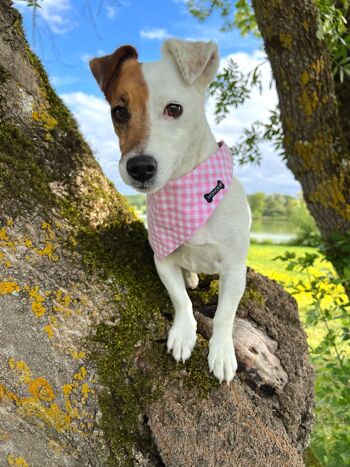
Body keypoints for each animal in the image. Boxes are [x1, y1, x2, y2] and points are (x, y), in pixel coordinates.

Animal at [89, 39, 250, 384]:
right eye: (119, 112)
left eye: (174, 109)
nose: (139, 167)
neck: (187, 196)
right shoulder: (162, 260)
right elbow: (181, 300)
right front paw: (183, 334)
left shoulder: (233, 269)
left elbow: (224, 315)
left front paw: (221, 352)